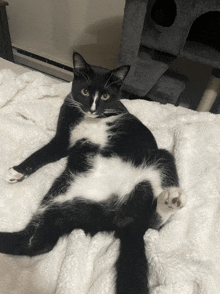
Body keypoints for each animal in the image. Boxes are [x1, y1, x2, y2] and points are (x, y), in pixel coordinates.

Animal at [3, 52, 186, 294]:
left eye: (106, 95)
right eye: (85, 92)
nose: (92, 108)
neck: (89, 118)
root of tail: (121, 218)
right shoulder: (63, 137)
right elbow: (43, 153)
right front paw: (17, 172)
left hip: (162, 158)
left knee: (152, 224)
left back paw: (170, 199)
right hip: (62, 198)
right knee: (35, 242)